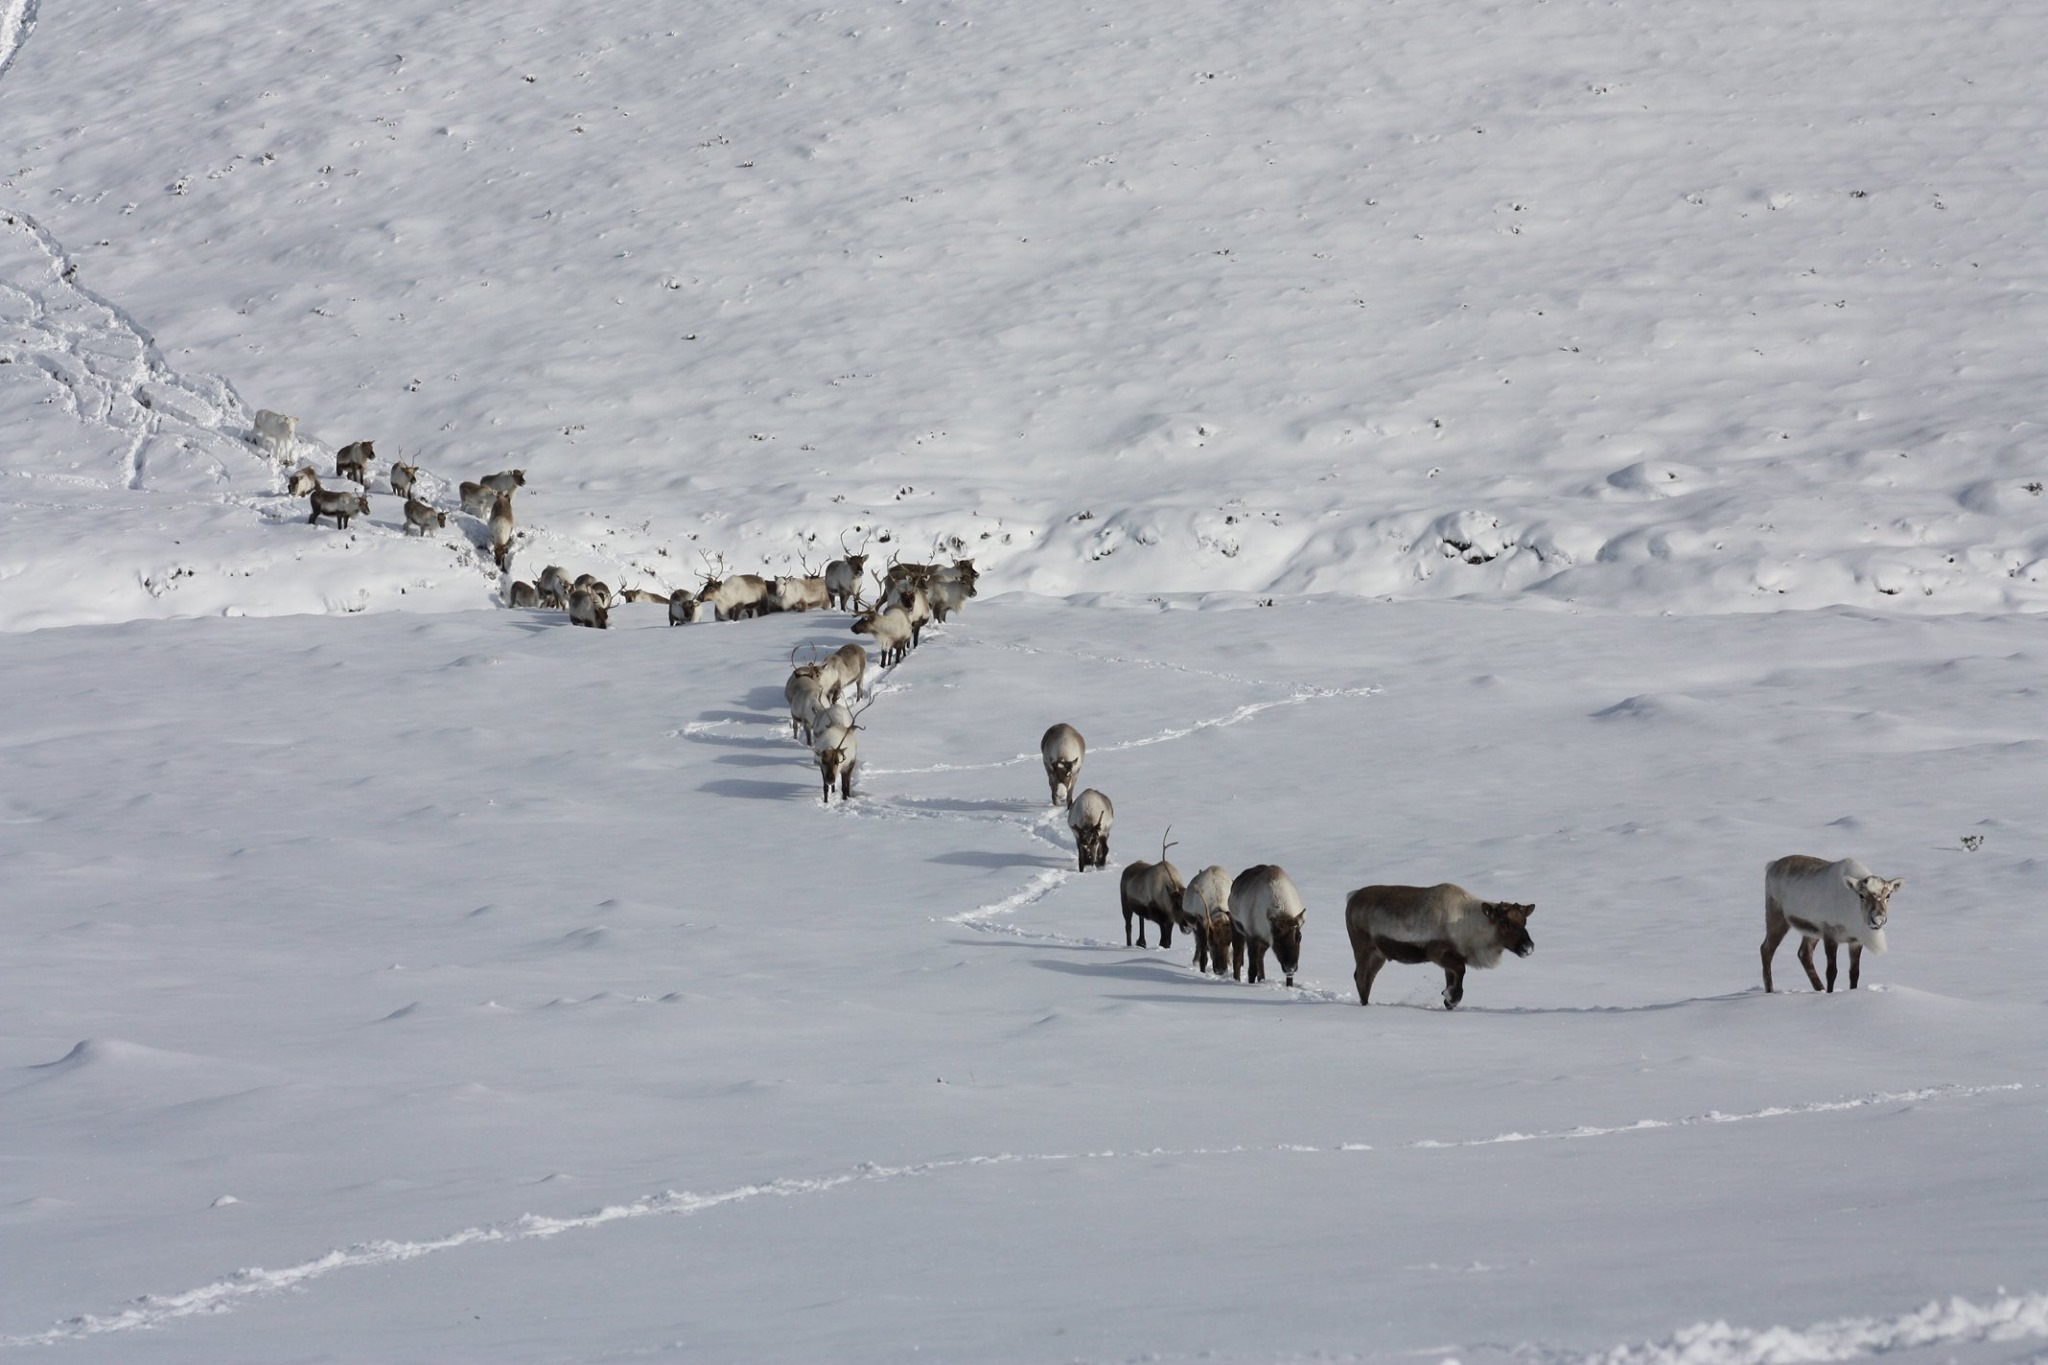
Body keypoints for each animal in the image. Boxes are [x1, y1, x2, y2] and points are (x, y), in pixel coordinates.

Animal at [1345, 883, 1532, 1009]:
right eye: (1504, 922)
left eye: (1524, 921)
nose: (1528, 947)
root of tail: (1351, 897)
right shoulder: (1437, 953)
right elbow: (1461, 969)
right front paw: (1451, 997)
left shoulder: (1450, 959)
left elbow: (1455, 976)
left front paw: (1449, 1000)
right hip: (1362, 947)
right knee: (1361, 977)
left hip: (1379, 954)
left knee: (1368, 977)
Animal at [1762, 856, 1902, 993]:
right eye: (1861, 895)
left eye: (1888, 895)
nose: (1878, 919)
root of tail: (1771, 866)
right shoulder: (1830, 934)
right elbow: (1831, 972)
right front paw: (1830, 993)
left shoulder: (1855, 941)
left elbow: (1854, 973)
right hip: (1776, 916)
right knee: (1766, 949)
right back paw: (1770, 990)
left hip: (1813, 931)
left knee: (1804, 953)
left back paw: (1820, 989)